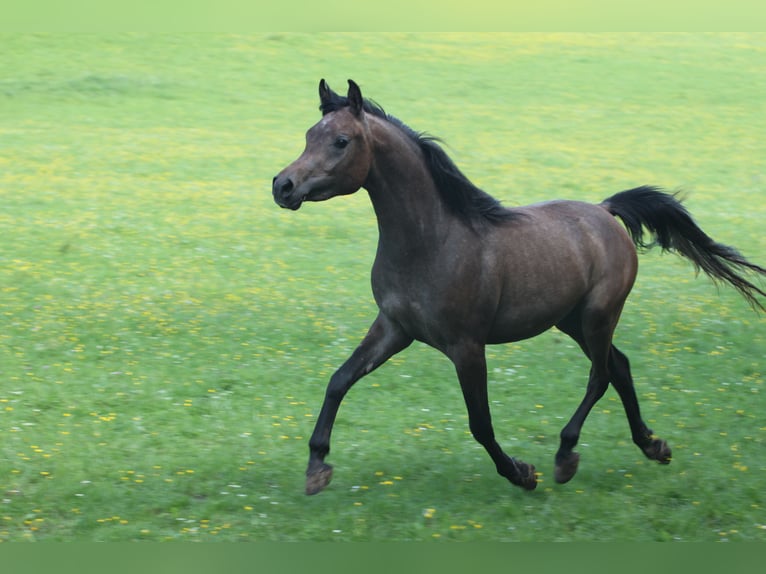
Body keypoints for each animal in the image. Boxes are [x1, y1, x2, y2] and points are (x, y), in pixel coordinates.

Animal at [272, 79, 764, 498]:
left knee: (602, 374)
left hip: (598, 315)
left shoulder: (466, 346)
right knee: (620, 367)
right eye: (309, 134)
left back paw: (566, 456)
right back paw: (653, 446)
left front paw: (522, 473)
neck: (433, 241)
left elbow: (480, 422)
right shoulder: (395, 328)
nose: (283, 185)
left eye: (341, 141)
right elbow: (338, 380)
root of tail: (606, 212)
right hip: (572, 321)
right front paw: (317, 468)